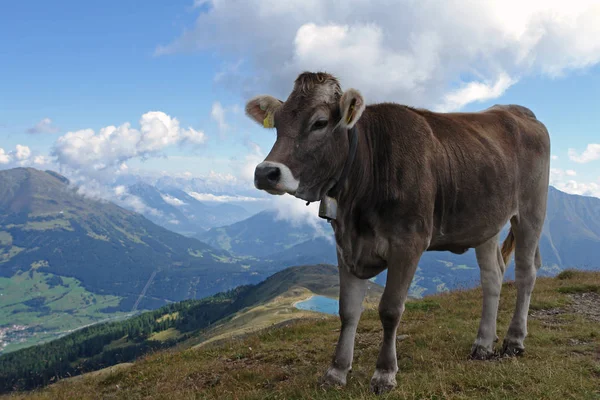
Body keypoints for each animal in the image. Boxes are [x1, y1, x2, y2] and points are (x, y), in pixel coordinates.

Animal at [243, 70, 548, 392]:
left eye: (320, 123)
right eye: (278, 123)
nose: (265, 173)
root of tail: (517, 110)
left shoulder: (408, 243)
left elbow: (390, 309)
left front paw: (384, 373)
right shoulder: (345, 245)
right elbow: (347, 310)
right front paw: (336, 371)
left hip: (531, 211)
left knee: (526, 272)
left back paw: (514, 340)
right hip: (485, 222)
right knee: (493, 276)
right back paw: (483, 344)